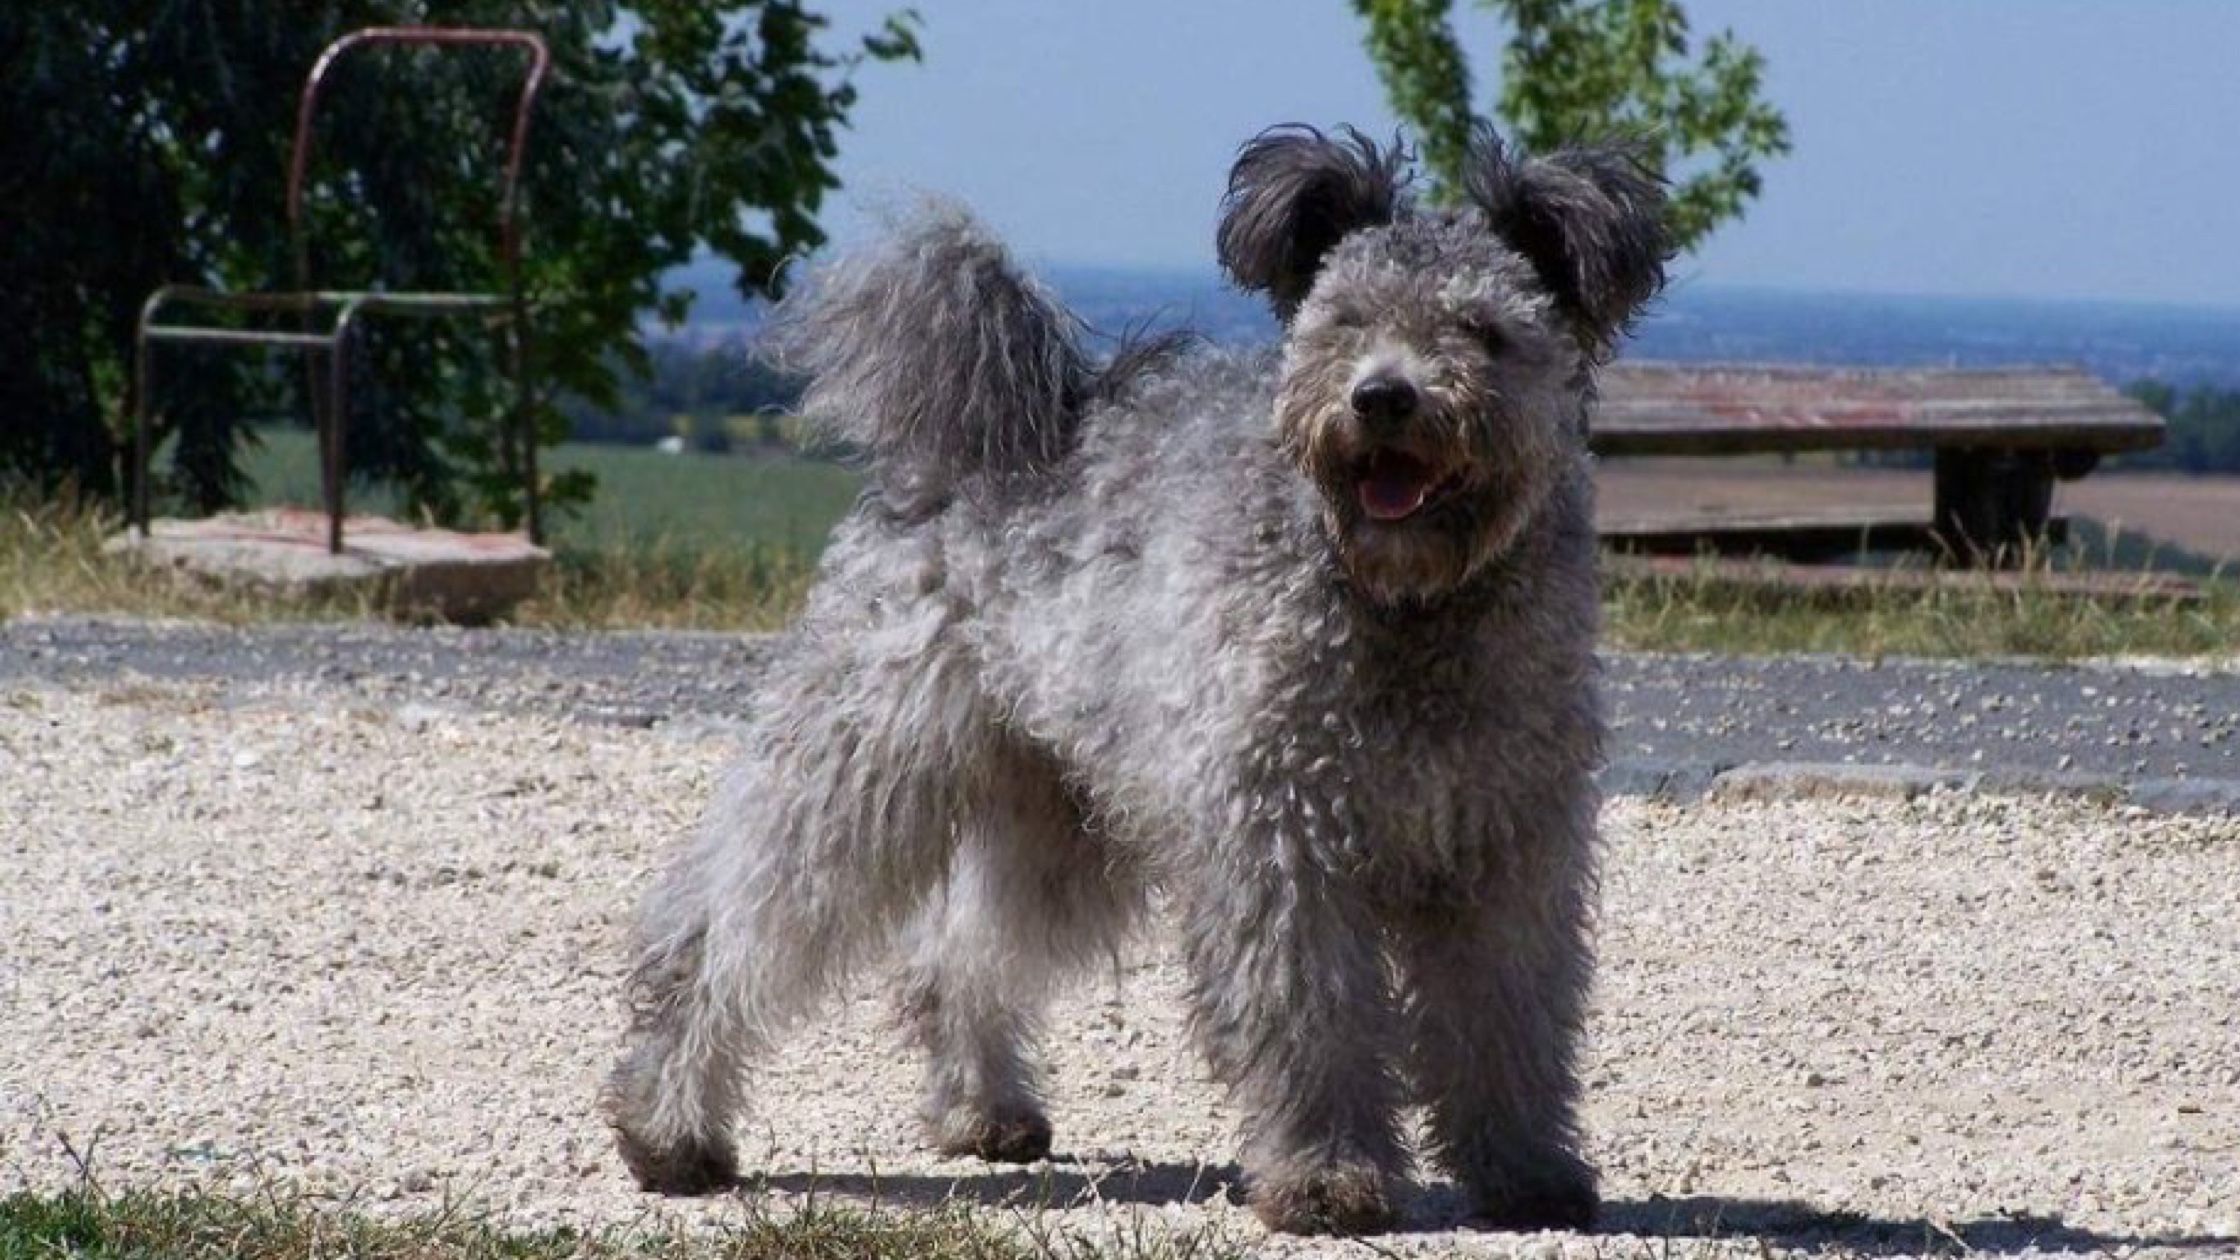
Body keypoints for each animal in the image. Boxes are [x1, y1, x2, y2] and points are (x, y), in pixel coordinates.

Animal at [604, 124, 1675, 1228]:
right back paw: (668, 1128)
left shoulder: (1507, 848)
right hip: (862, 762)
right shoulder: (1282, 845)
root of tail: (990, 432)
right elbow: (1313, 1018)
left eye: (1481, 331)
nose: (1381, 397)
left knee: (957, 955)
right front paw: (1324, 1174)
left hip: (1061, 804)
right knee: (722, 930)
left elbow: (1509, 1021)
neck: (1406, 606)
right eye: (1342, 323)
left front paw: (1523, 1170)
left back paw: (980, 1111)